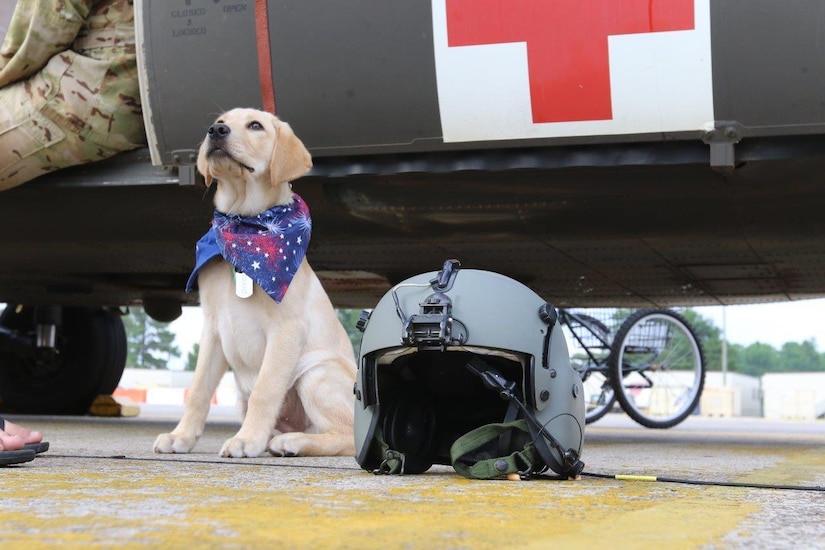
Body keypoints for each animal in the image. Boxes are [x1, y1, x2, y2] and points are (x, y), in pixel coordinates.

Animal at [154, 110, 358, 460]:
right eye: (220, 120)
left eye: (255, 126)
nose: (216, 130)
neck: (243, 226)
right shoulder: (214, 326)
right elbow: (198, 389)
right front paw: (181, 436)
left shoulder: (287, 329)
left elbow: (266, 388)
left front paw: (246, 440)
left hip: (317, 373)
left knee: (349, 437)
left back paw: (291, 442)